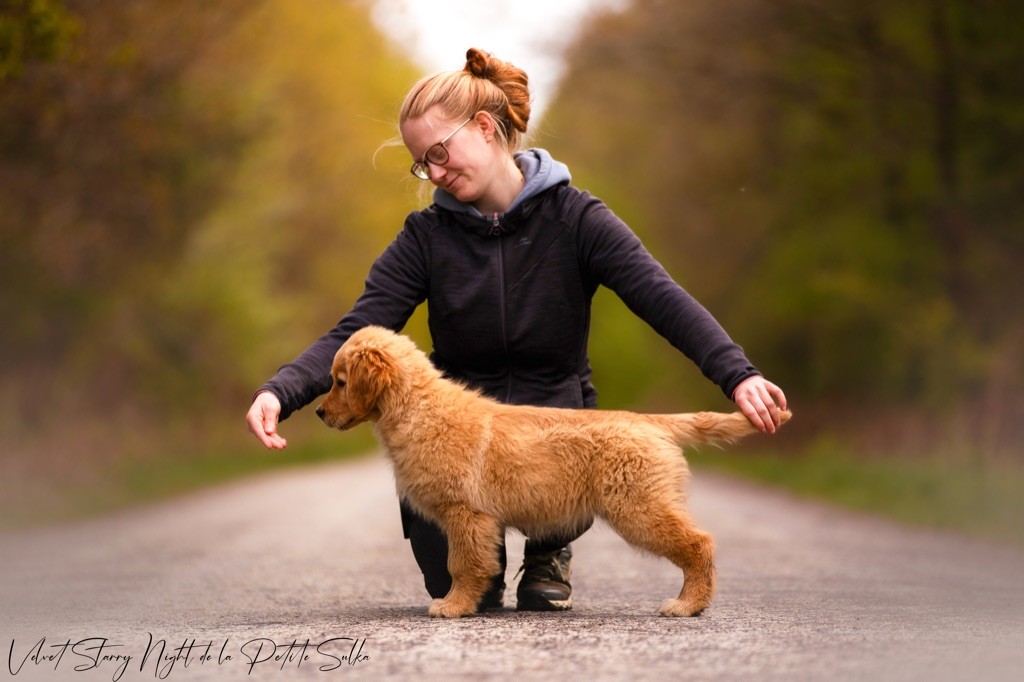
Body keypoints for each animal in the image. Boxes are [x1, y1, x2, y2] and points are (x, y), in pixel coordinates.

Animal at [313, 323, 790, 614]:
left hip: (639, 508)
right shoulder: (473, 520)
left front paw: (454, 606)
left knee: (699, 544)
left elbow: (461, 564)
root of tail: (650, 421)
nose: (318, 413)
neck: (419, 408)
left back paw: (689, 604)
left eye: (339, 381)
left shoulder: (465, 514)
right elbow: (472, 564)